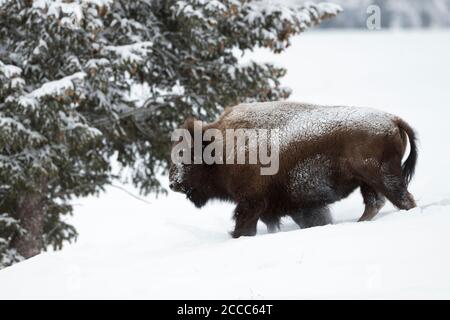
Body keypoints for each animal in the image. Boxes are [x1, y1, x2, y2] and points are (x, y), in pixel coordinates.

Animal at [169, 101, 418, 239]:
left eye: (187, 156)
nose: (173, 183)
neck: (220, 147)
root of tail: (393, 120)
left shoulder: (252, 203)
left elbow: (243, 226)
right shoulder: (296, 207)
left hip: (383, 178)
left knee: (403, 200)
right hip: (368, 183)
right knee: (375, 203)